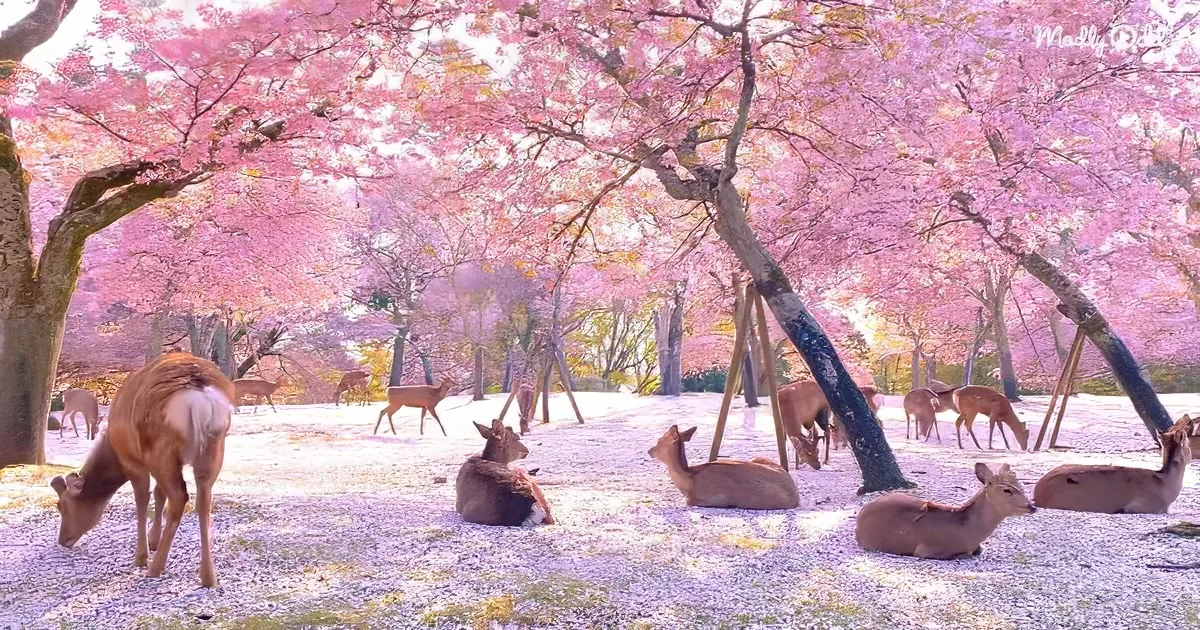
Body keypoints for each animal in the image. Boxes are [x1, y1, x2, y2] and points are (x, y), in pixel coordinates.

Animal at [49, 352, 234, 587]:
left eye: (61, 506)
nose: (63, 540)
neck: (113, 445)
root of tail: (200, 395)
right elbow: (158, 493)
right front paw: (154, 541)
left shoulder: (134, 463)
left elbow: (142, 501)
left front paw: (141, 556)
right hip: (213, 447)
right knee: (203, 499)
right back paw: (208, 576)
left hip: (161, 448)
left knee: (179, 496)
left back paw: (155, 568)